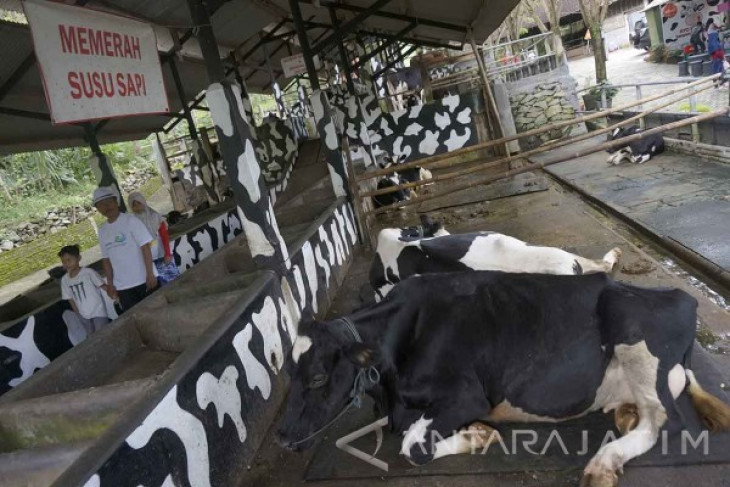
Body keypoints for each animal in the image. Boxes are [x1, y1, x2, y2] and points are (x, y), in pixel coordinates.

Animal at [274, 272, 728, 486]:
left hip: (631, 326)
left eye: (318, 378)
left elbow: (413, 445)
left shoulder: (467, 397)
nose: (281, 438)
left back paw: (603, 463)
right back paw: (624, 417)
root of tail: (680, 296)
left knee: (667, 422)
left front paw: (477, 436)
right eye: (289, 374)